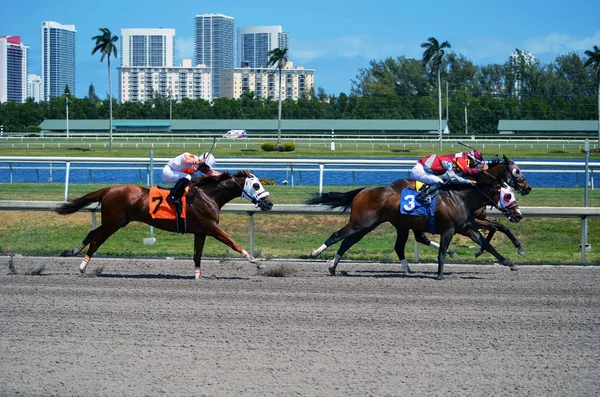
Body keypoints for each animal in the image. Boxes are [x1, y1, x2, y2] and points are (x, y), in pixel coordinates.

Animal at [55, 170, 272, 278]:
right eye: (255, 185)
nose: (269, 204)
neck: (207, 195)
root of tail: (109, 189)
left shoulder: (200, 231)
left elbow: (197, 255)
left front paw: (197, 276)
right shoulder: (211, 227)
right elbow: (233, 242)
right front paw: (256, 262)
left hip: (115, 222)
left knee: (92, 234)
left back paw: (73, 251)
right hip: (113, 223)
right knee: (96, 240)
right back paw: (82, 267)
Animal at [304, 155, 528, 278]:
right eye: (508, 195)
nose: (518, 214)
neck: (461, 195)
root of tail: (364, 190)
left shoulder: (468, 225)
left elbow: (491, 238)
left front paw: (510, 260)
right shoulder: (459, 225)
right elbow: (492, 230)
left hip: (373, 225)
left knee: (351, 242)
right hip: (362, 223)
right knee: (337, 236)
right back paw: (314, 254)